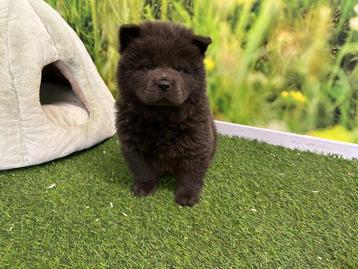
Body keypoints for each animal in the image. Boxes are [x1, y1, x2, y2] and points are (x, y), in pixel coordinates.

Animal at [116, 21, 217, 205]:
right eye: (148, 67)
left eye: (180, 69)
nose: (164, 83)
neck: (162, 118)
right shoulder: (134, 146)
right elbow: (142, 170)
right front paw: (143, 189)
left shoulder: (196, 143)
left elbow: (191, 174)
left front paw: (187, 196)